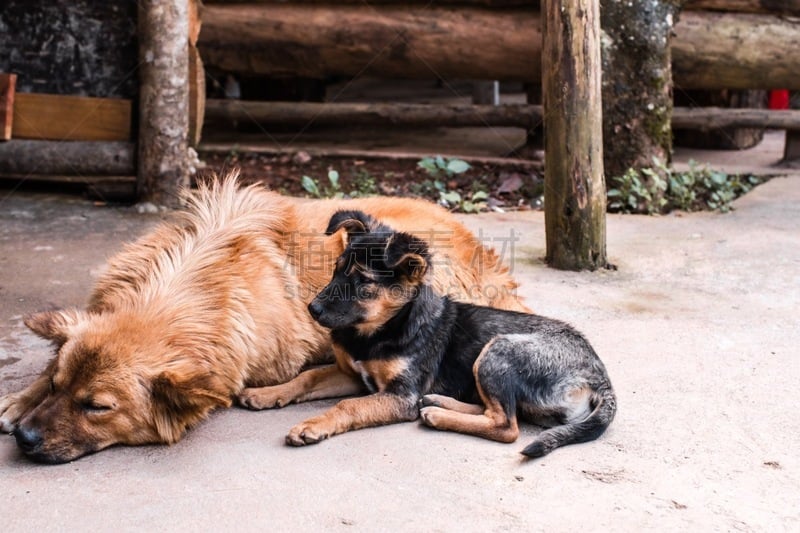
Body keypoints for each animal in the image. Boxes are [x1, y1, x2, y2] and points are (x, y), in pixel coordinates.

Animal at [253, 210, 616, 456]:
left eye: (363, 281)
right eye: (336, 270)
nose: (312, 309)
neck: (379, 331)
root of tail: (601, 378)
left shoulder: (401, 396)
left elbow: (347, 407)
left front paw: (311, 426)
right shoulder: (354, 374)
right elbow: (307, 377)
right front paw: (266, 393)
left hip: (498, 350)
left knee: (506, 426)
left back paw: (439, 415)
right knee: (496, 411)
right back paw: (439, 403)